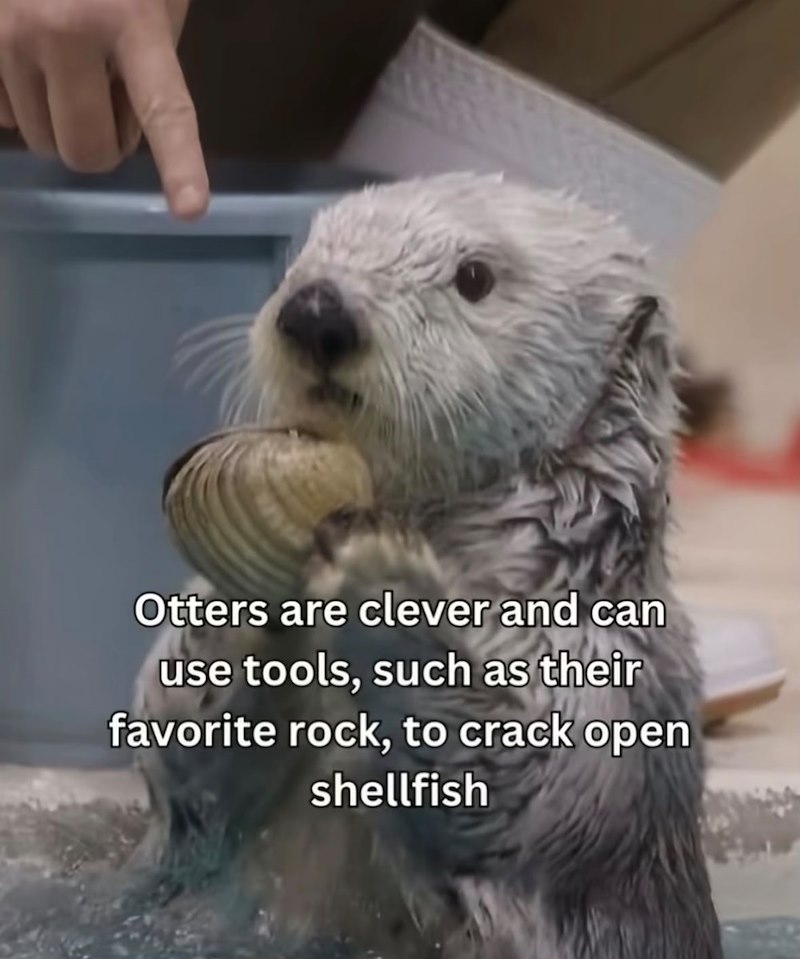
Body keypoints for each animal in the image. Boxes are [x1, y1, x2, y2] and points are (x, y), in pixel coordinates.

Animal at [132, 174, 723, 958]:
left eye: (474, 276)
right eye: (307, 250)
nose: (316, 310)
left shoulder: (607, 670)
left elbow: (519, 781)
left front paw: (376, 572)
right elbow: (183, 777)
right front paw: (242, 607)